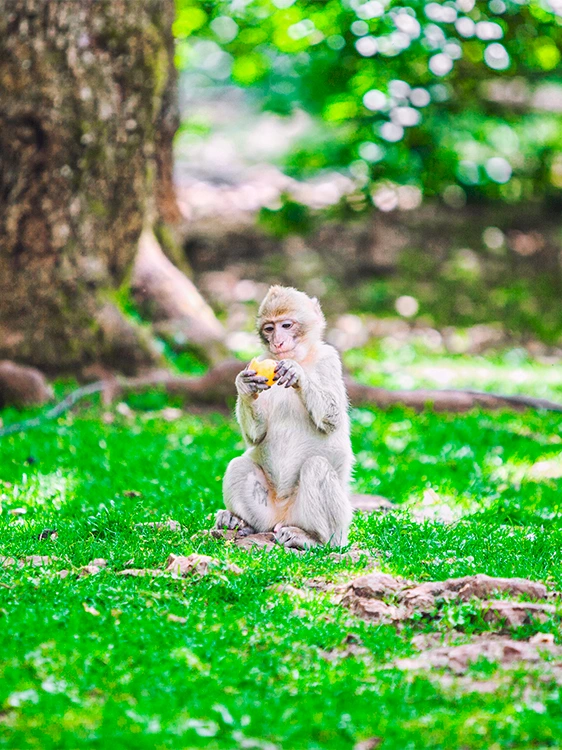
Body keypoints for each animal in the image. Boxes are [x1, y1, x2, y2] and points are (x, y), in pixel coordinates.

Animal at [213, 284, 350, 548]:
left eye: (286, 325)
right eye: (269, 328)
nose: (277, 341)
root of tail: (282, 516)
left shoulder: (329, 359)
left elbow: (334, 419)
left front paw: (298, 375)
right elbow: (256, 437)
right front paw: (244, 387)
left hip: (330, 524)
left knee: (316, 467)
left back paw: (312, 538)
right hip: (267, 513)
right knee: (239, 465)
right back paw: (240, 522)